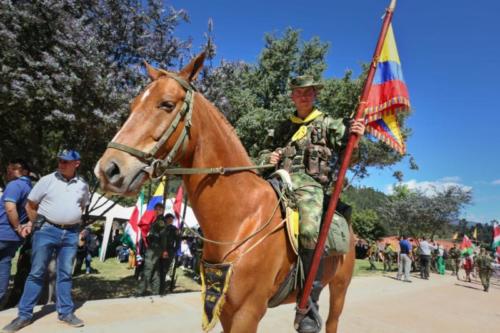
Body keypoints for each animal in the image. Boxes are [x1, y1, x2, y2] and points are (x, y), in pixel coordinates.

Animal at [94, 53, 356, 330]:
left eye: (166, 104)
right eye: (133, 105)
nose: (108, 169)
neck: (241, 218)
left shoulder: (247, 313)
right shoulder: (226, 309)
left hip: (340, 288)